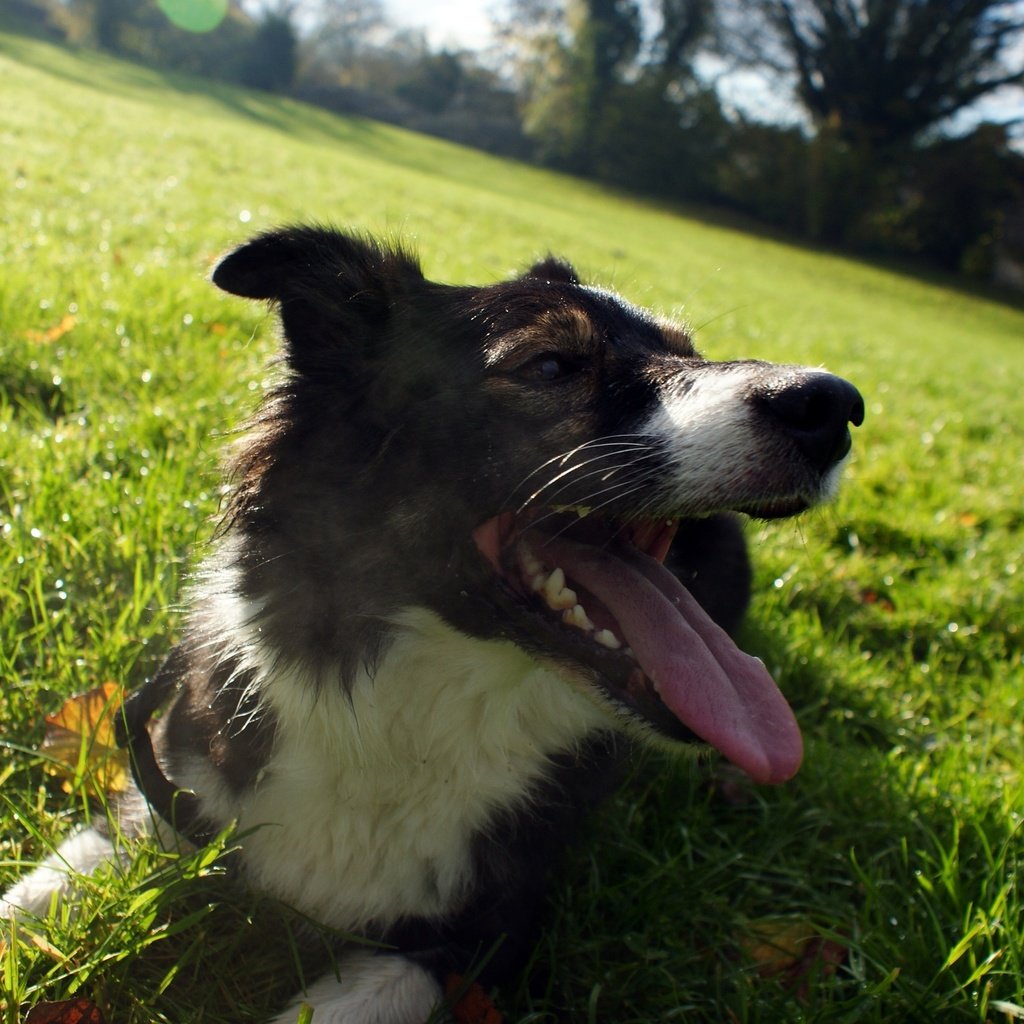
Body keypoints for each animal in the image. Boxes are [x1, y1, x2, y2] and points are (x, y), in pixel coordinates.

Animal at [2, 230, 864, 1024]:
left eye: (691, 352)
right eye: (551, 366)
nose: (834, 405)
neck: (408, 704)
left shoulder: (481, 937)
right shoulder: (170, 790)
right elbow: (37, 895)